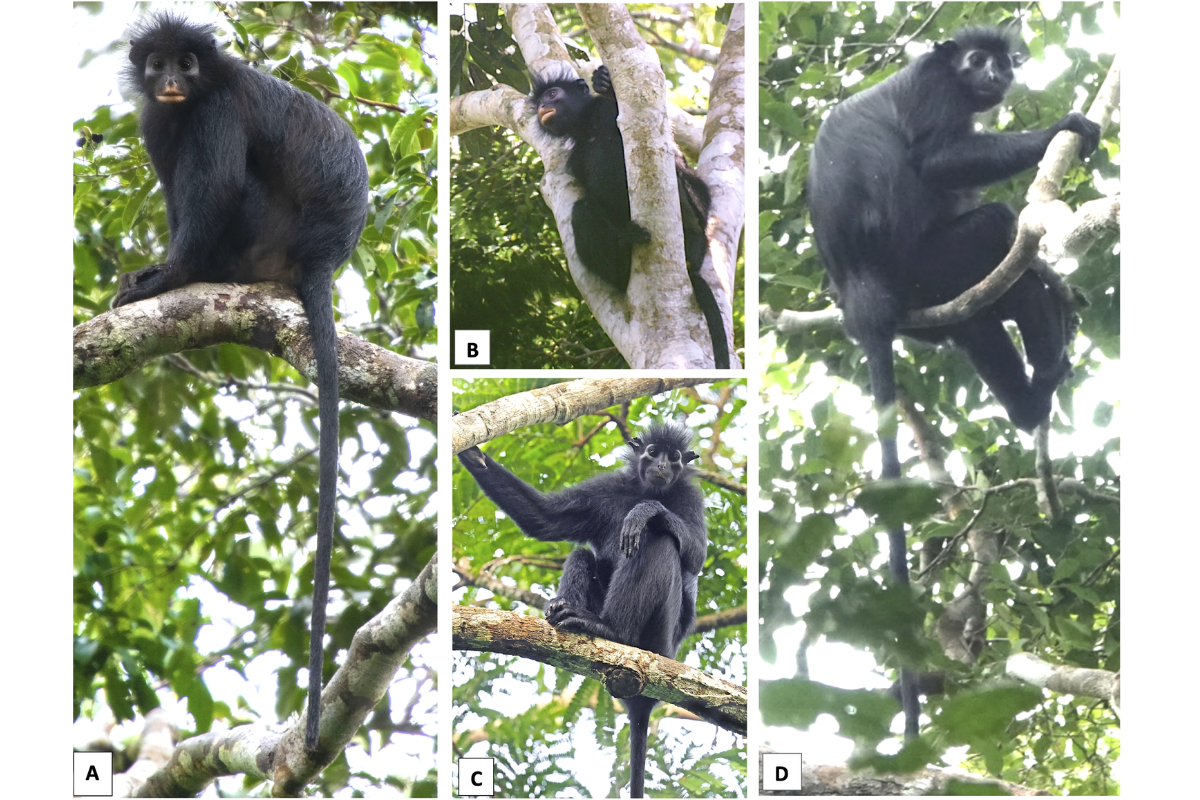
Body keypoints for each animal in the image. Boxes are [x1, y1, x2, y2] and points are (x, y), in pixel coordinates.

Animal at [116, 12, 369, 750]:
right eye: (161, 63)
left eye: (189, 64)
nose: (172, 80)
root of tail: (320, 257)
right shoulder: (156, 119)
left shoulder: (217, 108)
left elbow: (215, 186)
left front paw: (168, 277)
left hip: (262, 231)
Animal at [457, 422, 709, 797]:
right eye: (653, 452)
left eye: (675, 456)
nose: (663, 465)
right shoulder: (606, 490)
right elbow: (544, 520)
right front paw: (474, 455)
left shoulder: (690, 497)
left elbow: (696, 553)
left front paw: (646, 511)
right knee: (582, 554)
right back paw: (567, 611)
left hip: (661, 637)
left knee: (659, 540)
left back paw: (612, 629)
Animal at [530, 64, 732, 369]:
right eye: (541, 100)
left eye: (553, 94)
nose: (543, 105)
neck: (587, 127)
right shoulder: (574, 159)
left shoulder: (607, 113)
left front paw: (605, 82)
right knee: (582, 210)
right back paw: (625, 246)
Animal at [806, 26, 1101, 738]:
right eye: (976, 60)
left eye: (1002, 62)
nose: (996, 74)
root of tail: (862, 293)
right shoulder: (936, 90)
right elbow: (938, 164)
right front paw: (1065, 126)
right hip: (931, 266)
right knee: (995, 227)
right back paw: (1041, 380)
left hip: (929, 303)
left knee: (976, 323)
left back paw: (1028, 397)